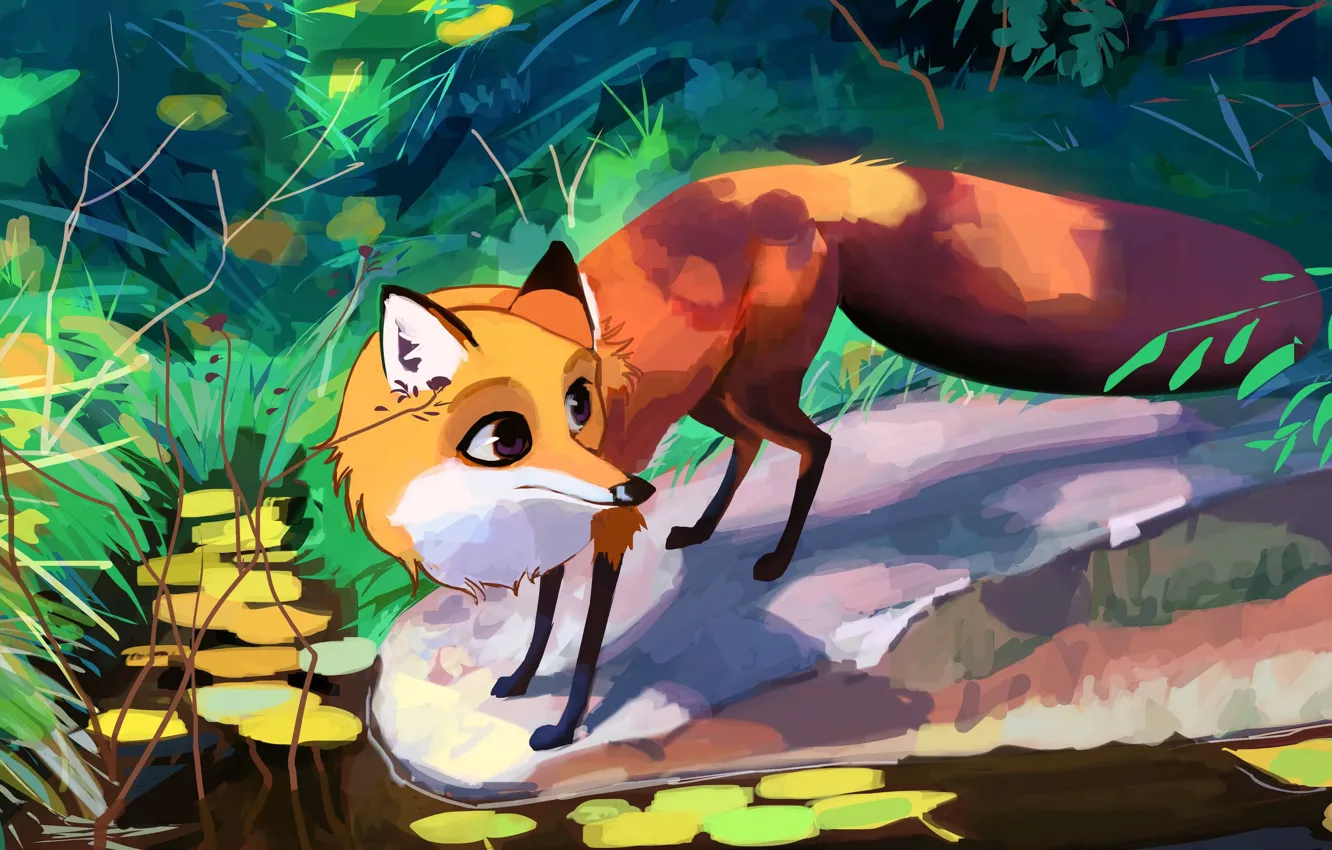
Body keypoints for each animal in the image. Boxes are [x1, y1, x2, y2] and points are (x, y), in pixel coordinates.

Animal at [327, 159, 1321, 752]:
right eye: (508, 434)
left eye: (583, 404)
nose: (633, 485)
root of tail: (796, 177)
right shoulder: (561, 528)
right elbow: (541, 622)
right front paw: (519, 679)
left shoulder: (603, 527)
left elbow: (586, 644)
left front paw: (562, 725)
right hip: (723, 391)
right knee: (752, 444)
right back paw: (704, 529)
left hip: (758, 382)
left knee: (814, 441)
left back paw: (772, 558)